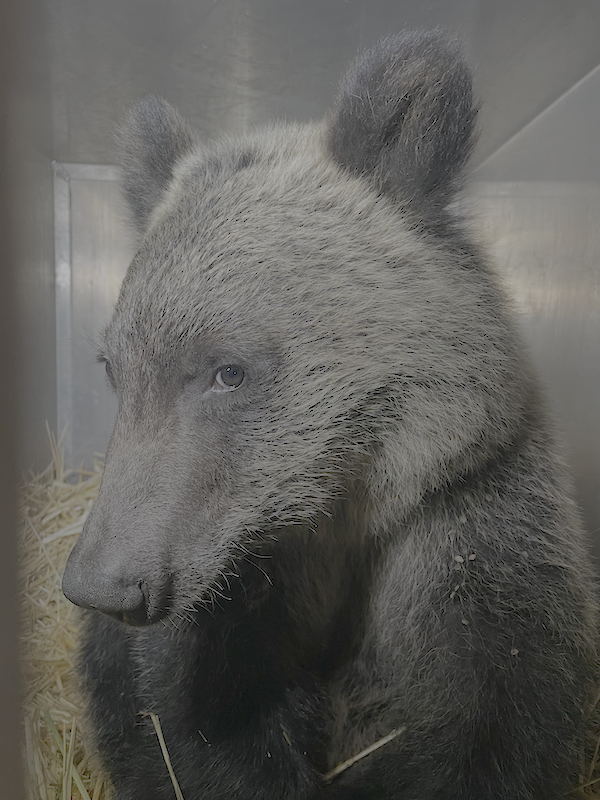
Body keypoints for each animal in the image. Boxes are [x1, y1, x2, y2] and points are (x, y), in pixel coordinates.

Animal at [62, 30, 599, 800]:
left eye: (228, 369)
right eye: (114, 367)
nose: (102, 584)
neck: (338, 516)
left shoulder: (467, 521)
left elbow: (487, 718)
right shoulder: (233, 585)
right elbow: (191, 726)